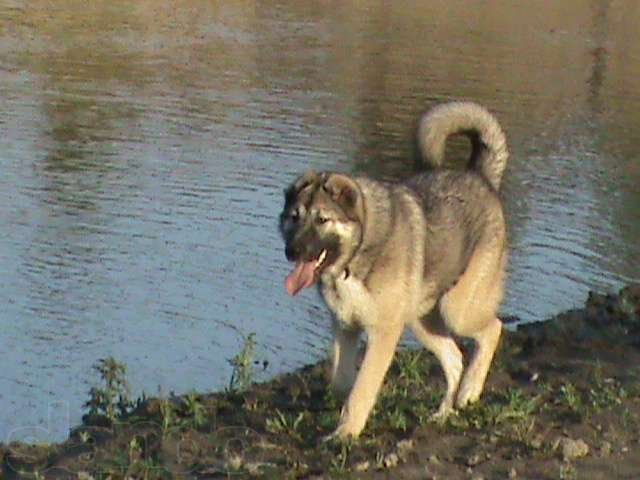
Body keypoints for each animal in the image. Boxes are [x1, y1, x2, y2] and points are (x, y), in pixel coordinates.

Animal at [280, 101, 510, 438]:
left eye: (322, 220)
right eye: (294, 217)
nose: (292, 251)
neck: (356, 254)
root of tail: (479, 176)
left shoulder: (383, 333)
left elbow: (362, 387)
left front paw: (345, 434)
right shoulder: (344, 327)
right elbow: (342, 381)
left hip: (457, 310)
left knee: (492, 329)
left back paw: (469, 391)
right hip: (422, 319)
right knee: (455, 358)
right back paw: (444, 414)